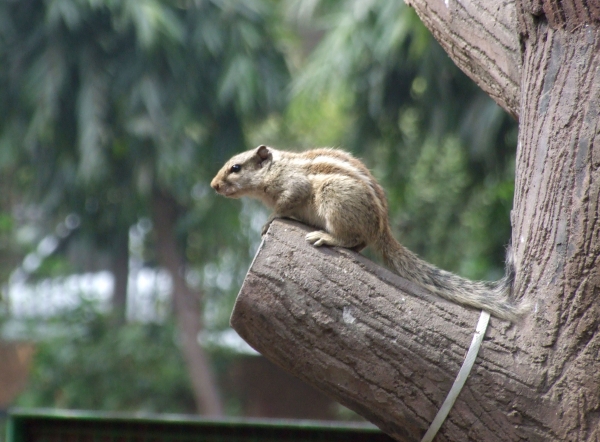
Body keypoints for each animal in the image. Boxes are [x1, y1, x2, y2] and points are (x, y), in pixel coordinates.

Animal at [212, 145, 524, 322]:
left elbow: (284, 206)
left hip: (333, 196)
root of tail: (382, 229)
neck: (278, 168)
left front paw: (269, 220)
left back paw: (325, 237)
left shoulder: (294, 187)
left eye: (235, 168)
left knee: (350, 239)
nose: (214, 185)